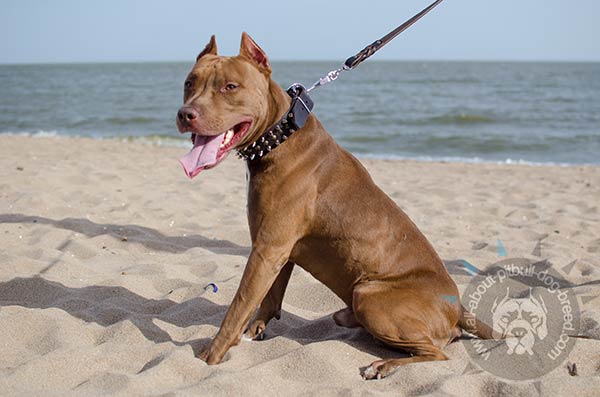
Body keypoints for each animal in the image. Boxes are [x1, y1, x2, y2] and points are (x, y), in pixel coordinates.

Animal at [175, 33, 492, 378]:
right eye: (189, 83)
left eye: (230, 87)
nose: (185, 114)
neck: (279, 136)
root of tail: (458, 307)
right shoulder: (277, 249)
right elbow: (269, 298)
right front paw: (254, 331)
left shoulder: (267, 249)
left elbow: (238, 305)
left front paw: (211, 355)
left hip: (369, 294)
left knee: (436, 353)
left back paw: (384, 365)